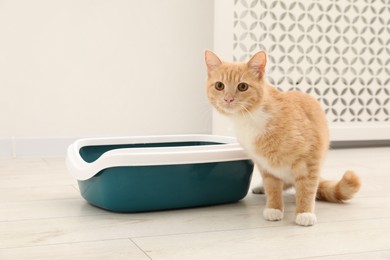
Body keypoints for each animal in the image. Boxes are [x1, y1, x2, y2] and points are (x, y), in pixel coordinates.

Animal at [206, 50, 362, 225]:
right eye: (219, 86)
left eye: (243, 86)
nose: (228, 99)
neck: (251, 118)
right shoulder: (265, 165)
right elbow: (273, 187)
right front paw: (274, 208)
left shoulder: (310, 159)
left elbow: (307, 187)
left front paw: (304, 212)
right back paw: (261, 187)